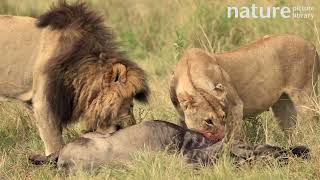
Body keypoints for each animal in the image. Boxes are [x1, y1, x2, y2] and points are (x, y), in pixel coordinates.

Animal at [170, 34, 318, 142]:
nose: (220, 136)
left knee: (314, 118)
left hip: (304, 94)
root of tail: (311, 45)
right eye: (208, 121)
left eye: (223, 116)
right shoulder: (181, 117)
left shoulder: (235, 106)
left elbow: (232, 138)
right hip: (282, 104)